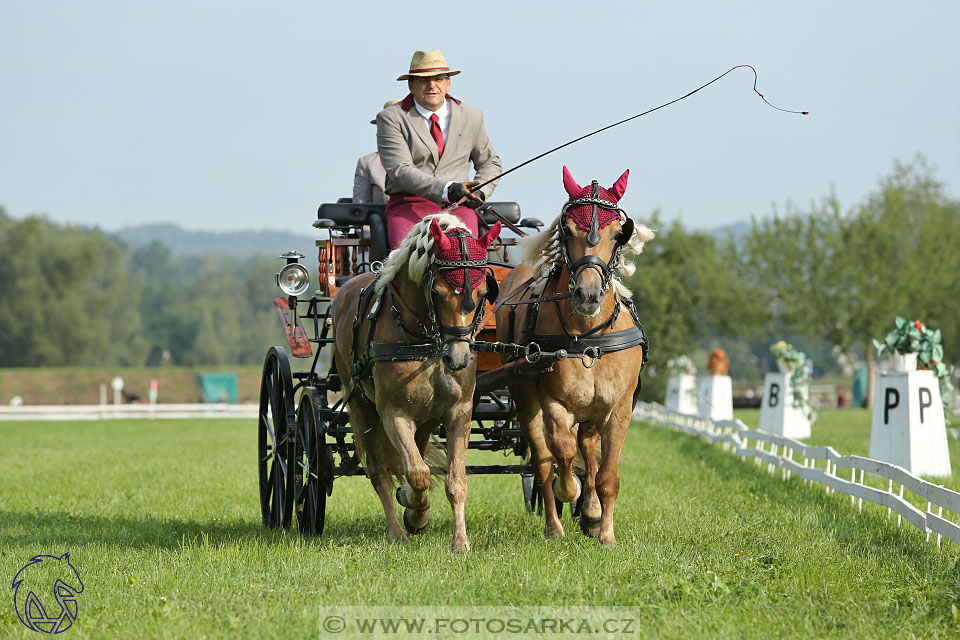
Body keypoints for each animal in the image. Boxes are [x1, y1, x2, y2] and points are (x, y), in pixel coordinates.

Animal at [332, 214, 498, 552]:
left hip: (424, 419)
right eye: (438, 292)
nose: (458, 358)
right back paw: (397, 531)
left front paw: (460, 542)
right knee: (379, 472)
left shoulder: (458, 412)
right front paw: (415, 511)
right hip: (361, 407)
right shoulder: (393, 413)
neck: (426, 340)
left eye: (482, 295)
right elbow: (417, 472)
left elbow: (455, 480)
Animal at [496, 168, 652, 548]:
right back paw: (554, 525)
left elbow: (607, 473)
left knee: (588, 448)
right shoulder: (554, 402)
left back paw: (592, 512)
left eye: (618, 234)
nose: (588, 294)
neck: (589, 335)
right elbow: (562, 455)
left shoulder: (619, 408)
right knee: (543, 458)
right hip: (526, 397)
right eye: (567, 230)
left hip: (594, 408)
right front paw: (569, 491)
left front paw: (605, 531)